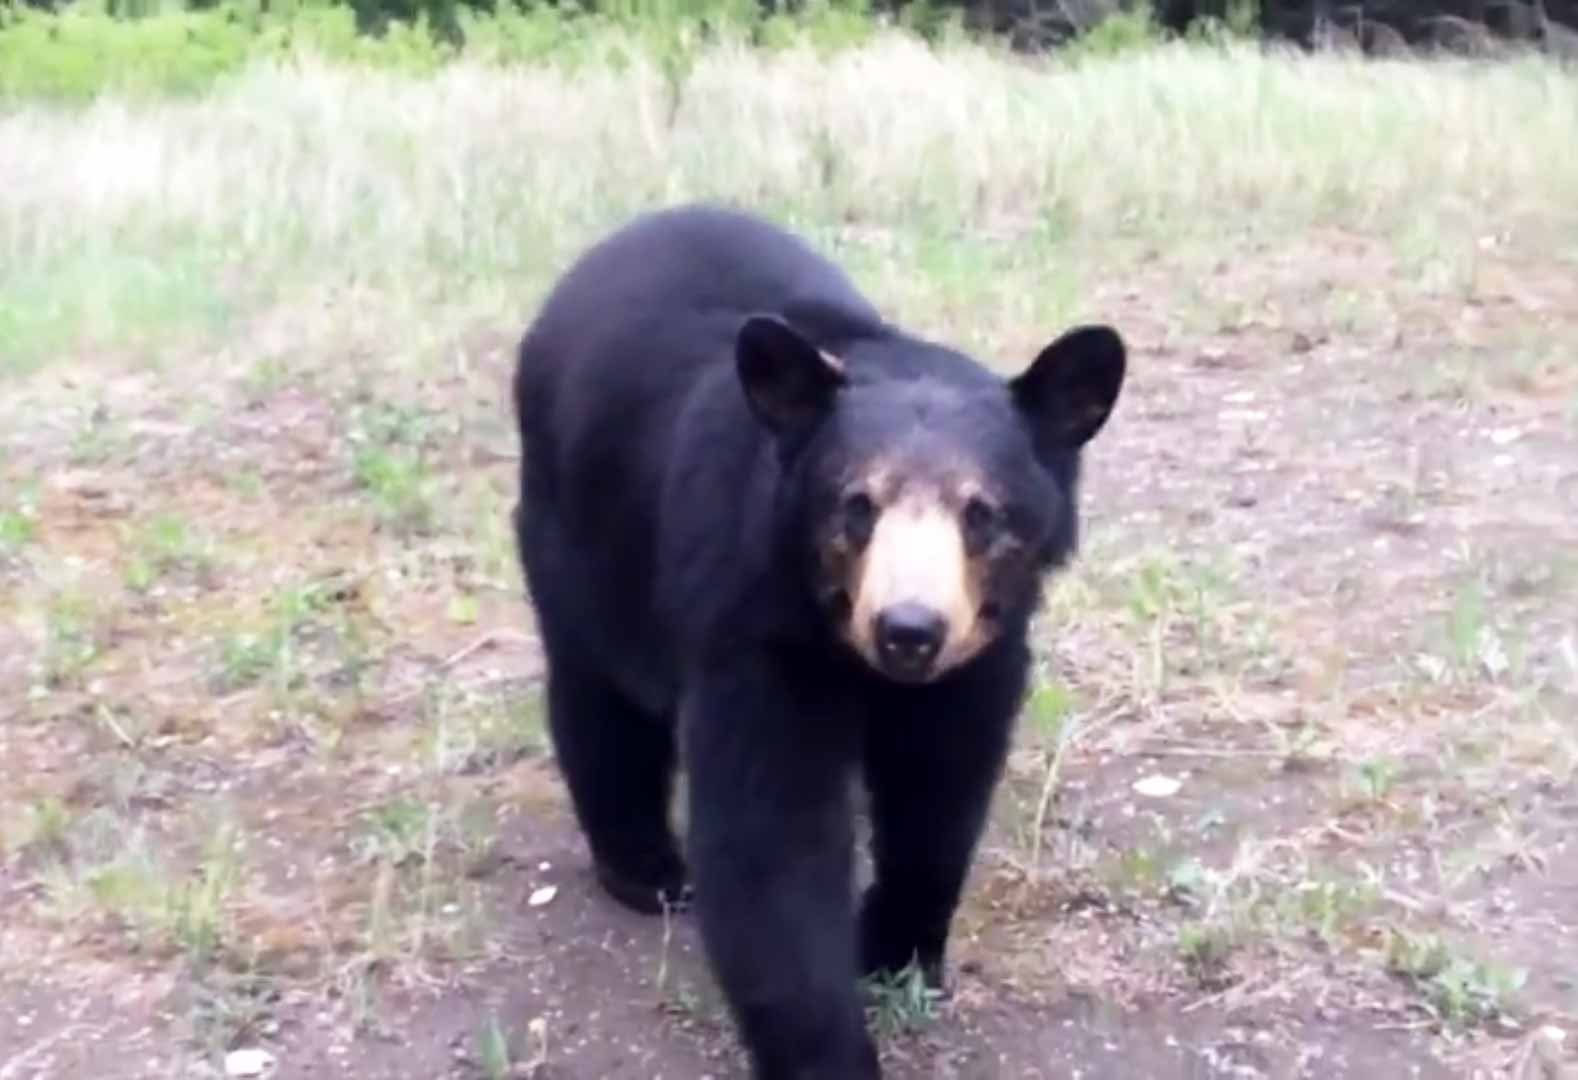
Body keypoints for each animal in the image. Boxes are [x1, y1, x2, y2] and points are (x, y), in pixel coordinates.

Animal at [511, 205, 1129, 1080]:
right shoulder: (753, 624)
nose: (909, 631)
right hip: (575, 534)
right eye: (856, 505)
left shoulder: (983, 649)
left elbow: (940, 790)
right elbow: (771, 838)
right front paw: (832, 1053)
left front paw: (900, 955)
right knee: (598, 693)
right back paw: (646, 870)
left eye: (982, 514)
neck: (847, 646)